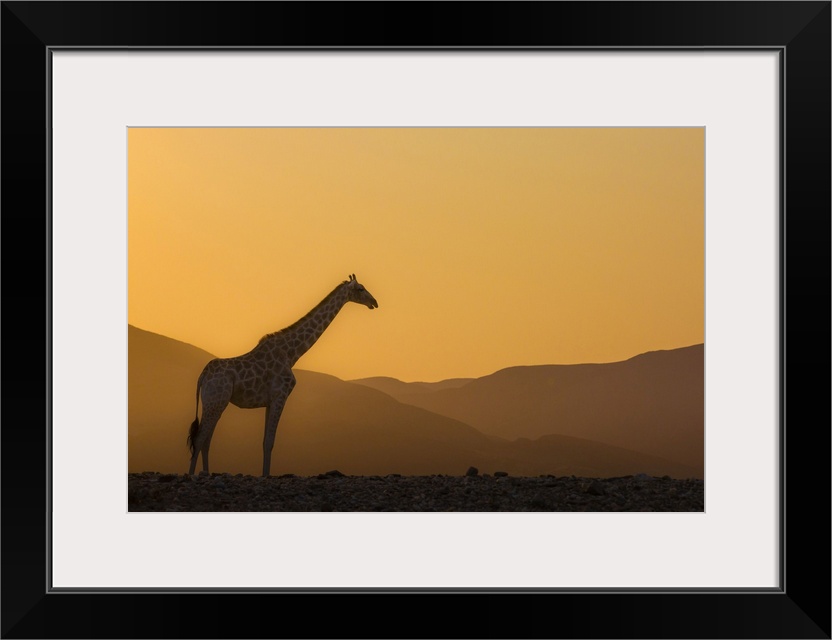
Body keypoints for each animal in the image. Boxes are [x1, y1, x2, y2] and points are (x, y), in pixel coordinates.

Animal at [187, 272, 378, 478]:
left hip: (215, 403)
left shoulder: (270, 400)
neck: (291, 353)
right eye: (360, 289)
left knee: (206, 440)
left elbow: (265, 441)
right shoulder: (280, 395)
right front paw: (265, 475)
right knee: (199, 439)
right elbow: (270, 442)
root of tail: (202, 376)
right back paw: (192, 474)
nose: (374, 302)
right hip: (216, 401)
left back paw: (207, 472)